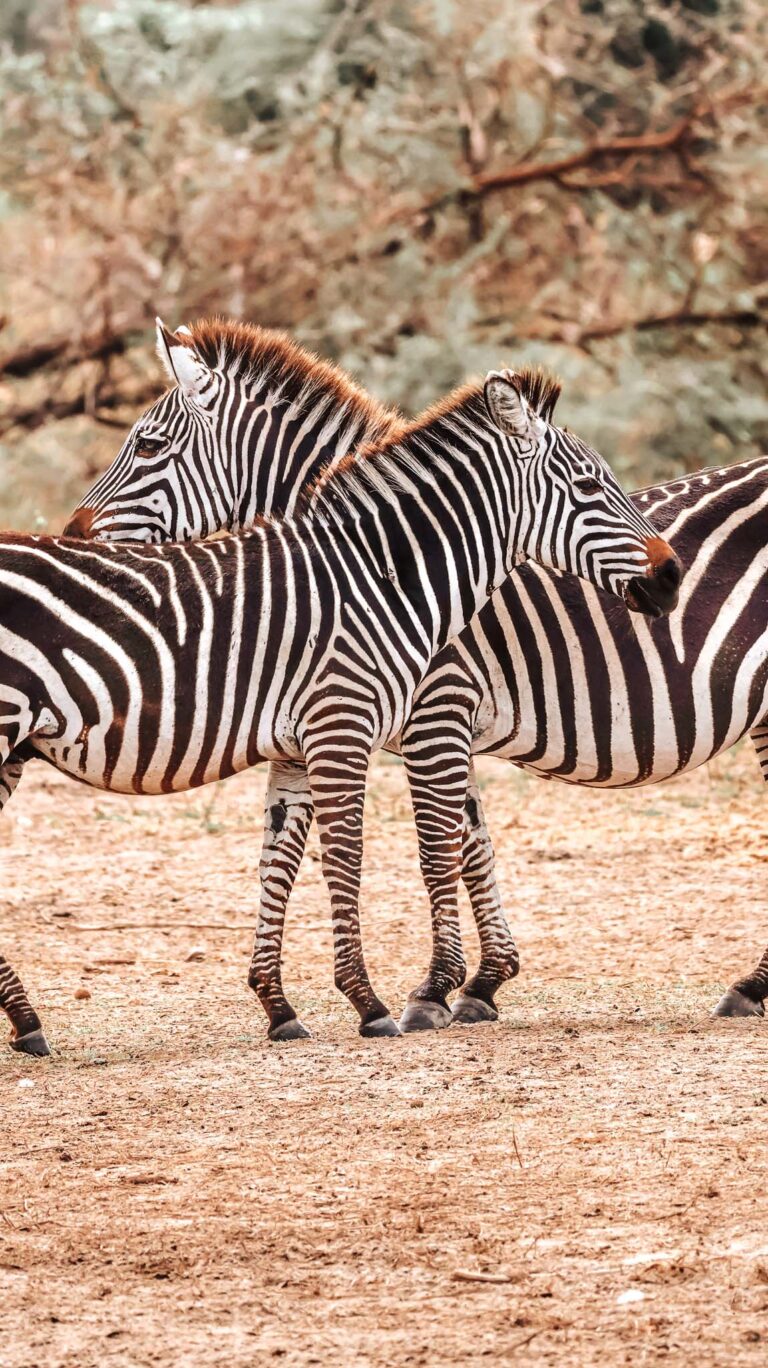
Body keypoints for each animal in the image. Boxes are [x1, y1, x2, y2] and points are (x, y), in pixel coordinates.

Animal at [67, 322, 768, 1029]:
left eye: (148, 445)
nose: (72, 535)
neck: (377, 565)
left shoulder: (438, 709)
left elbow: (437, 847)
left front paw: (435, 989)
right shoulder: (390, 721)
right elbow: (462, 841)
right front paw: (485, 981)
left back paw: (751, 986)